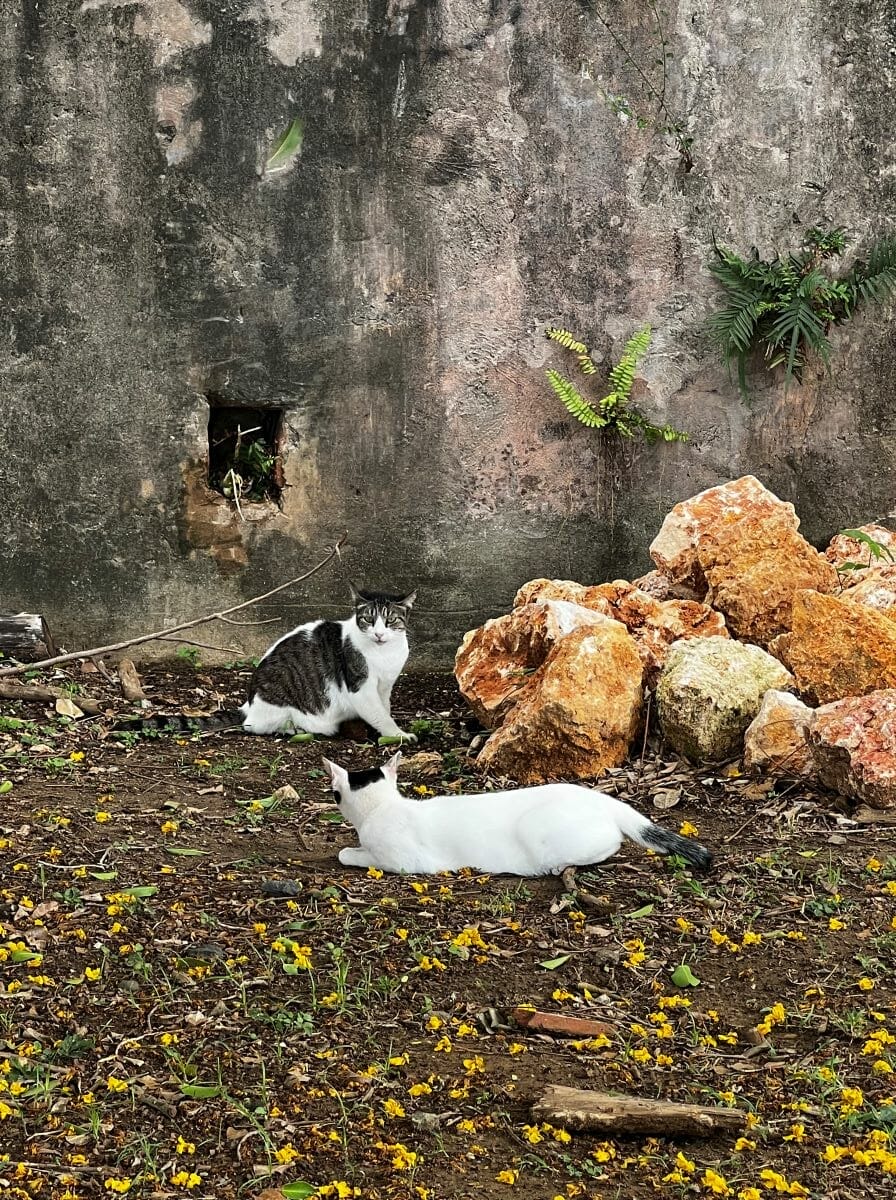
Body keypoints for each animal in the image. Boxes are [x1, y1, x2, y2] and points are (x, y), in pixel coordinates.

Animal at [113, 583, 419, 739]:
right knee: (256, 726)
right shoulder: (360, 687)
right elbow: (379, 714)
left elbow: (384, 709)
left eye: (390, 621)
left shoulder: (385, 686)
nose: (379, 633)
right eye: (367, 618)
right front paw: (398, 734)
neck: (384, 655)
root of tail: (249, 703)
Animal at [323, 753, 714, 878]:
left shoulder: (403, 861)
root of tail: (601, 798)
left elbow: (350, 854)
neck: (385, 806)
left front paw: (348, 853)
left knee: (610, 845)